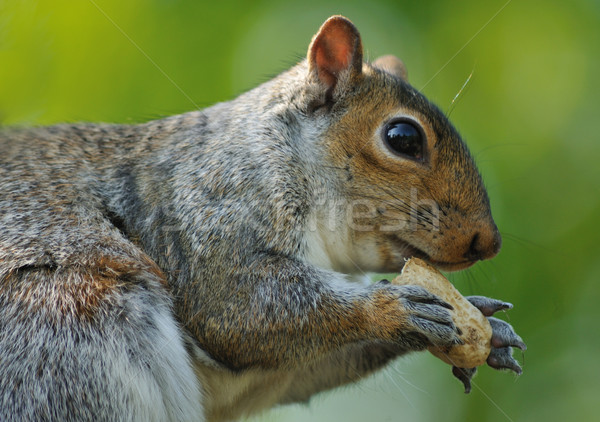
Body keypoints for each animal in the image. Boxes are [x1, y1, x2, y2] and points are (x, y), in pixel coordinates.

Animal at [0, 15, 524, 422]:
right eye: (403, 138)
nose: (488, 242)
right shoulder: (201, 209)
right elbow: (238, 305)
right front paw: (390, 309)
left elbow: (293, 369)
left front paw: (486, 325)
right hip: (65, 326)